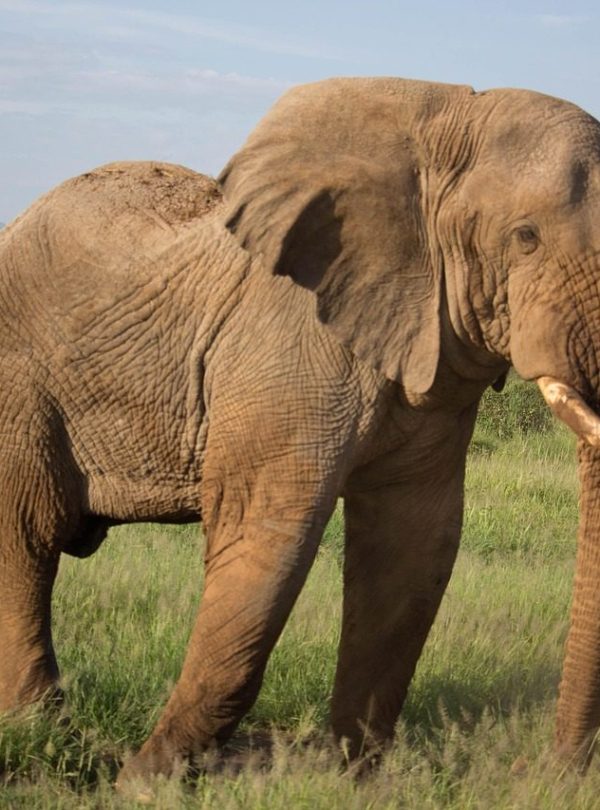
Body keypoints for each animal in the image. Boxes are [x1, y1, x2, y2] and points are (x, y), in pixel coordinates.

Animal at [2, 76, 600, 786]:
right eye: (526, 237)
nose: (545, 769)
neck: (444, 120)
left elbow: (414, 545)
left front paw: (353, 777)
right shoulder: (288, 342)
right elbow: (270, 533)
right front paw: (145, 783)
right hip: (21, 384)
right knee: (28, 532)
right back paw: (43, 734)